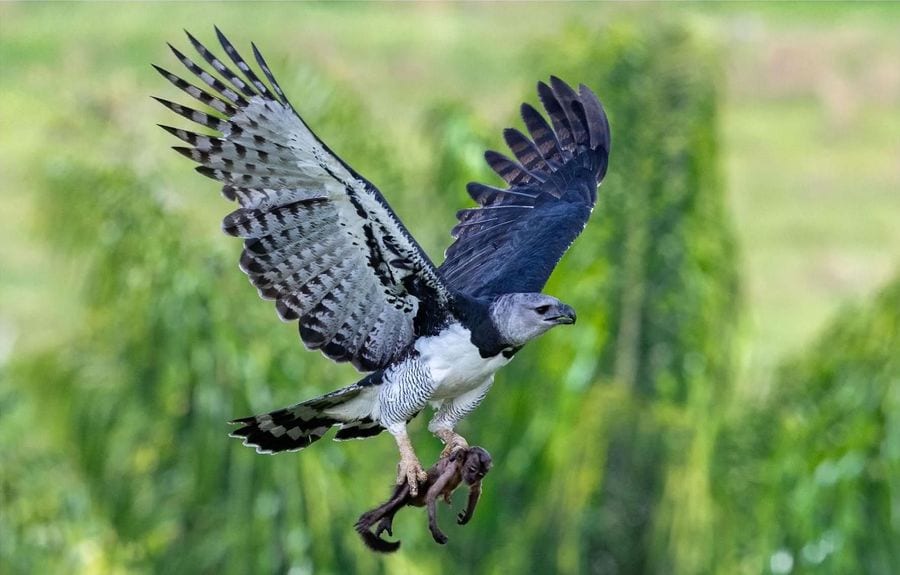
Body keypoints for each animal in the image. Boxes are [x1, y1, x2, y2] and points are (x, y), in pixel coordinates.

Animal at [355, 446, 492, 552]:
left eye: (480, 474)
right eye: (472, 469)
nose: (473, 478)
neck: (459, 469)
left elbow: (475, 491)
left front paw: (467, 516)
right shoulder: (450, 469)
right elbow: (432, 493)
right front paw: (434, 530)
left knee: (397, 503)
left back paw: (385, 520)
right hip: (412, 485)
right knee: (397, 500)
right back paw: (366, 521)